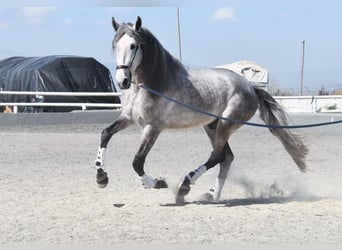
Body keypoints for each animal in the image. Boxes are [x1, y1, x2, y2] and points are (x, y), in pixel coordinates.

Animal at [94, 16, 308, 204]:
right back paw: (210, 195)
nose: (122, 81)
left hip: (226, 124)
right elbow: (105, 134)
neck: (148, 84)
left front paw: (158, 183)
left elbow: (137, 162)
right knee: (226, 158)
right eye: (116, 46)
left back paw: (185, 185)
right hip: (212, 125)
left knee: (217, 156)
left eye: (133, 45)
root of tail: (250, 87)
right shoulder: (128, 118)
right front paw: (101, 177)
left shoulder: (153, 127)